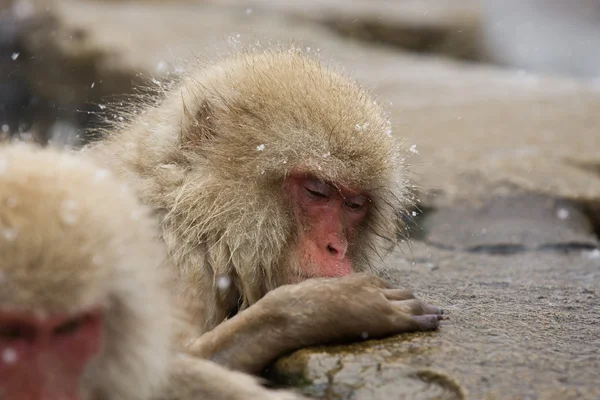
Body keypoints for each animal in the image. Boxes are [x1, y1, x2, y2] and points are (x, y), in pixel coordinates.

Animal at [89, 47, 446, 376]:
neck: (186, 208)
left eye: (354, 205)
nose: (337, 248)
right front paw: (333, 306)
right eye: (317, 190)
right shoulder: (170, 261)